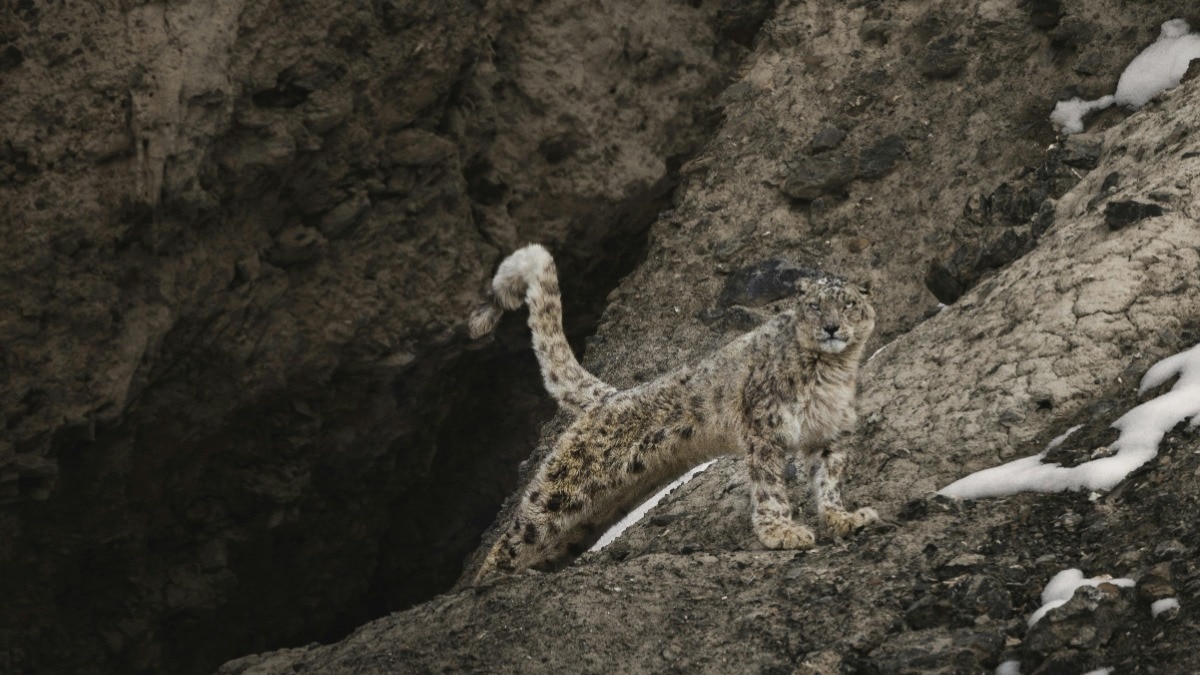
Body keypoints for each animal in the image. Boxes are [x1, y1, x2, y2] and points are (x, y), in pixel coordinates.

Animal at [465, 244, 879, 583]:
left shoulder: (830, 437)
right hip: (562, 493)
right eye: (815, 306)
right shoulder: (764, 429)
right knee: (517, 534)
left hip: (595, 514)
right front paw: (782, 532)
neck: (832, 373)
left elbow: (828, 482)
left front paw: (844, 518)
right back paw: (481, 586)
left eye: (849, 304)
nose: (831, 327)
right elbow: (769, 487)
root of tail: (610, 396)